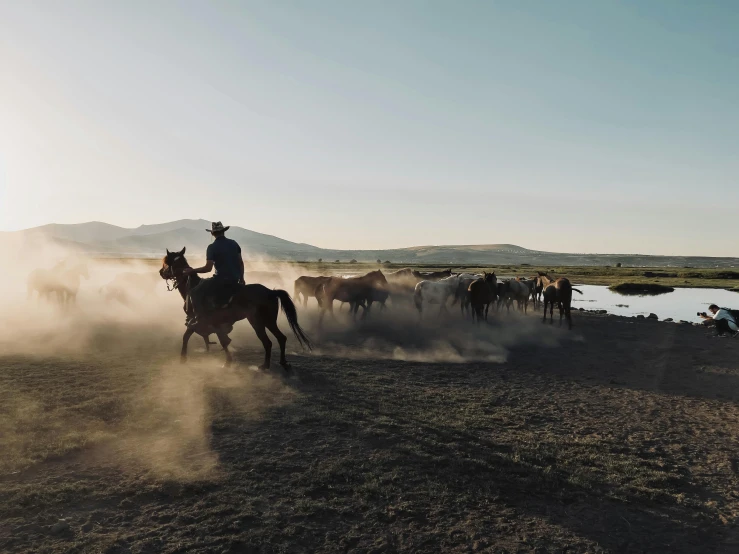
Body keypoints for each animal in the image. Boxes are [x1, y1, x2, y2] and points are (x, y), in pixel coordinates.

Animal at [160, 248, 310, 368]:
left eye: (166, 262)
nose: (161, 272)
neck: (191, 286)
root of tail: (271, 292)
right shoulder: (207, 323)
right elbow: (214, 339)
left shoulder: (199, 321)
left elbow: (216, 340)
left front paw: (183, 359)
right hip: (270, 321)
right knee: (281, 338)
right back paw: (282, 362)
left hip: (257, 322)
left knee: (267, 342)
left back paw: (265, 365)